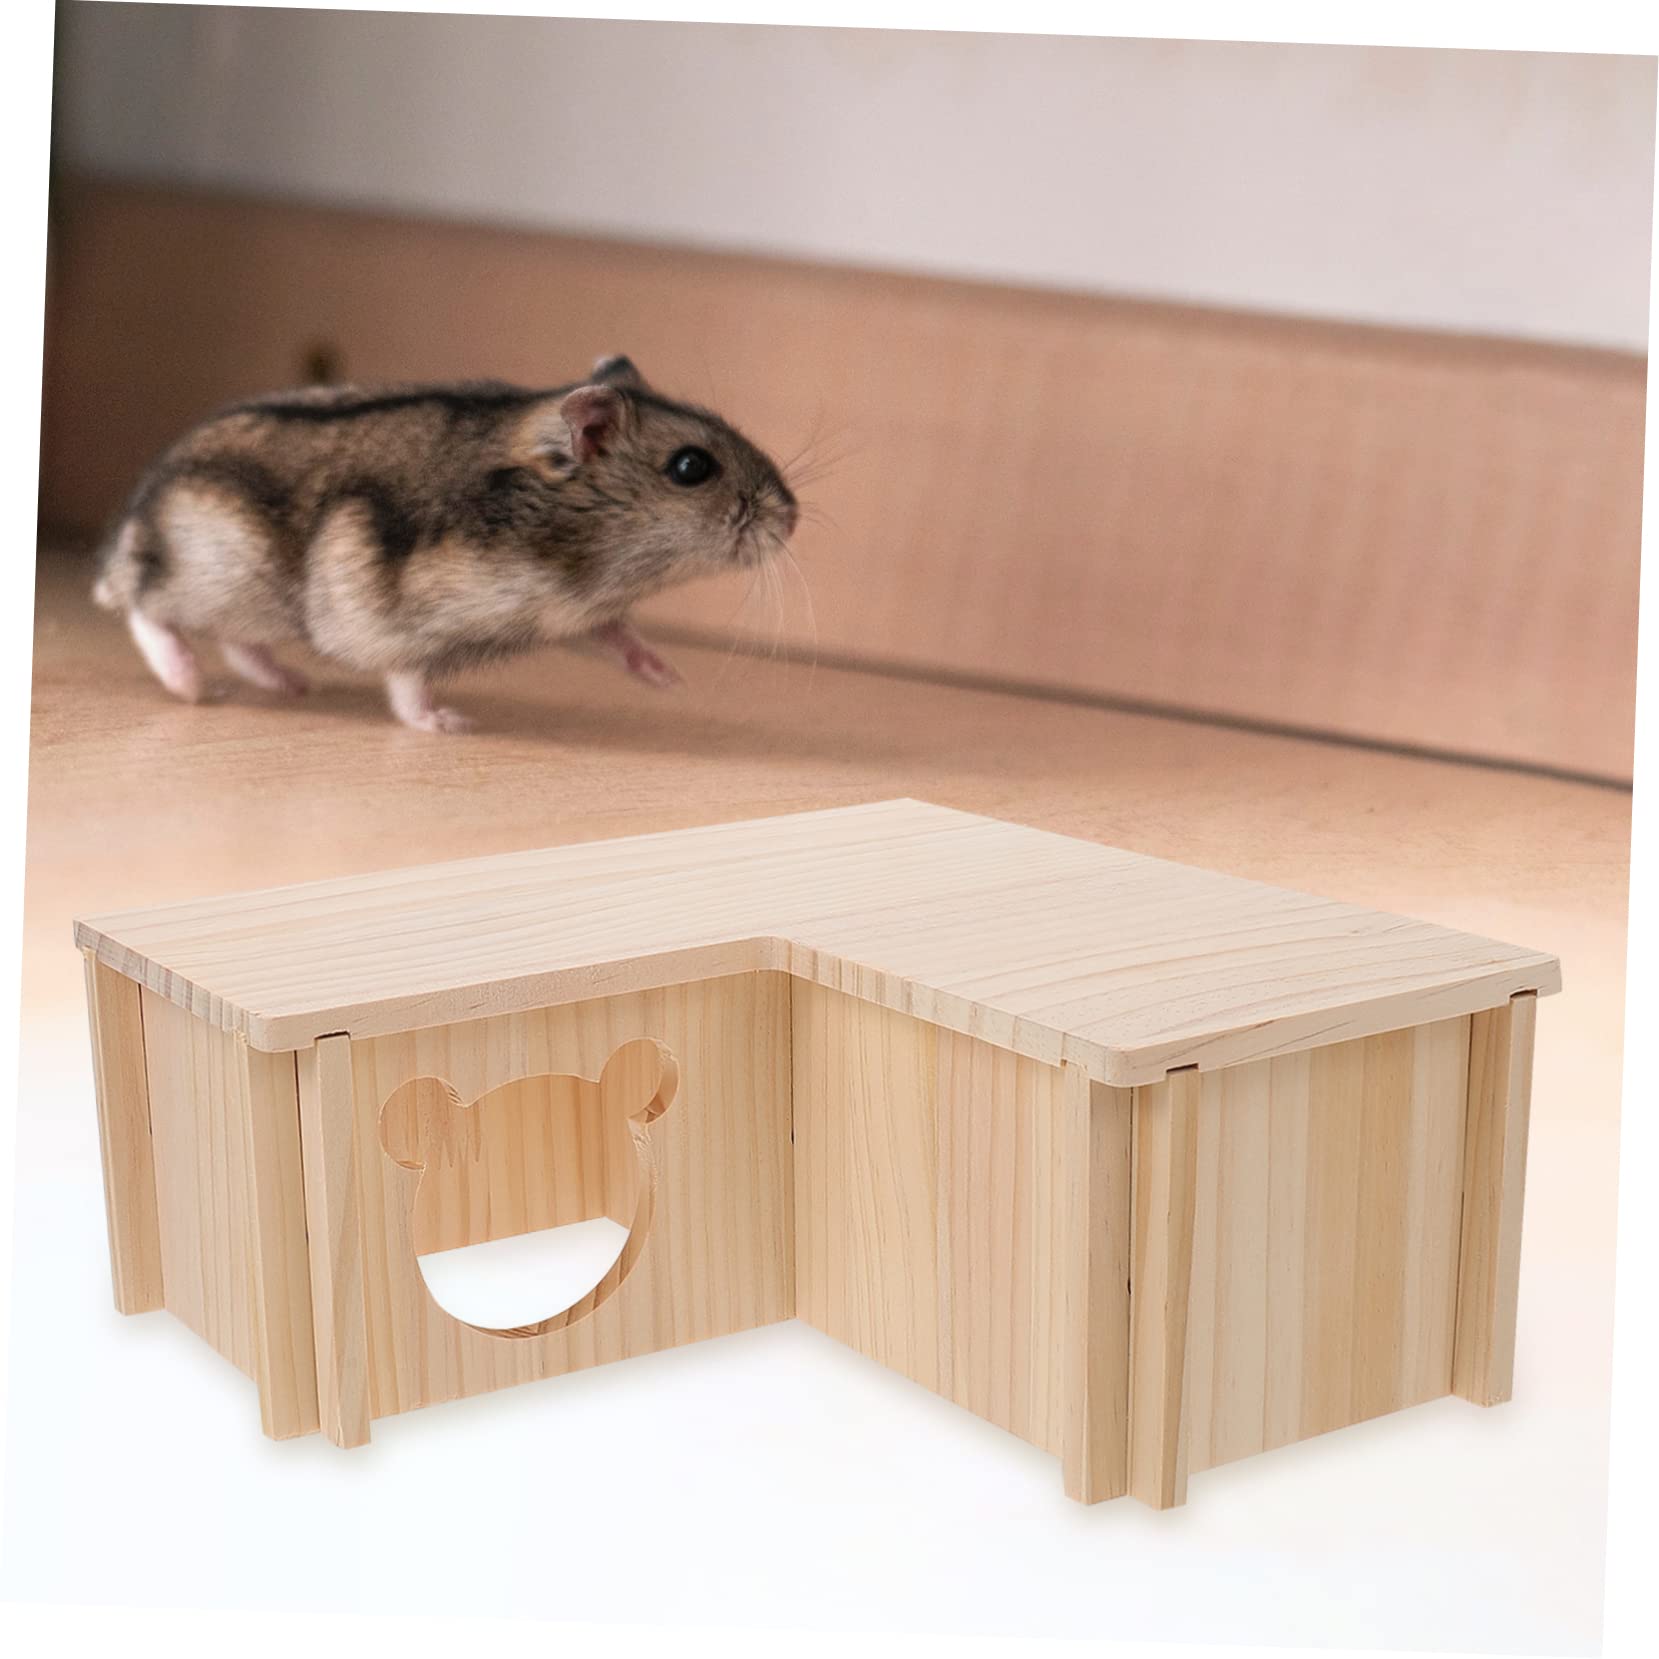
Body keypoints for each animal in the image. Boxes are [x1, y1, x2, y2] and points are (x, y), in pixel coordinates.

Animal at [91, 355, 798, 732]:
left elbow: (616, 637)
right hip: (212, 577)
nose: (790, 518)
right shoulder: (399, 620)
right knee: (145, 610)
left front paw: (669, 680)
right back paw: (191, 686)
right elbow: (408, 683)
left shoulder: (575, 615)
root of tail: (132, 523)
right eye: (691, 467)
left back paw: (294, 685)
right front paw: (450, 725)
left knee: (241, 646)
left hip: (251, 602)